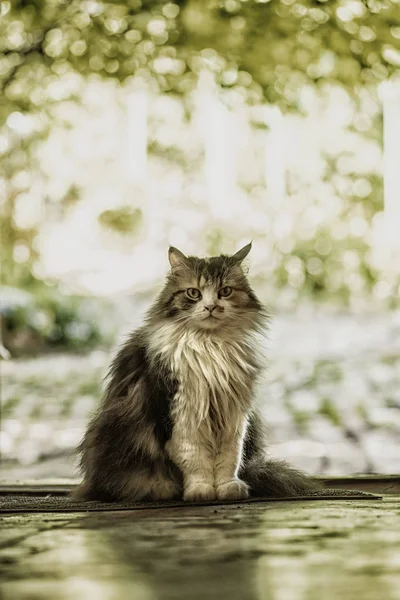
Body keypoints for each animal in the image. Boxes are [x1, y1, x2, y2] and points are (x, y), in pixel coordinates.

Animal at [74, 243, 318, 502]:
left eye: (225, 291)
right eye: (193, 293)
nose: (211, 307)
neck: (209, 345)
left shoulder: (233, 414)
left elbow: (229, 458)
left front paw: (227, 489)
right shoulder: (181, 411)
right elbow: (194, 458)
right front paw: (200, 490)